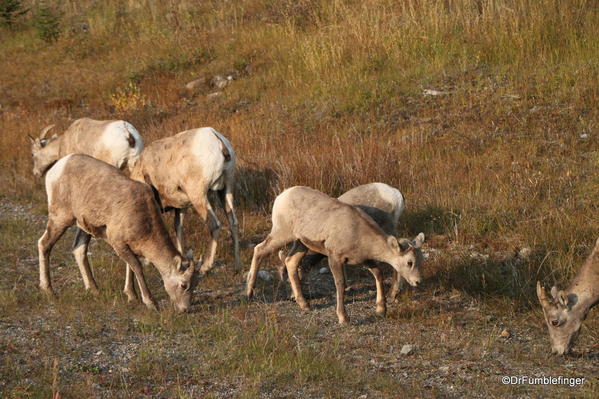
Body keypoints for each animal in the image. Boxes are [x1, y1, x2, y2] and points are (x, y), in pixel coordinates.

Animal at [39, 153, 197, 312]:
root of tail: (58, 166)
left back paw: (95, 290)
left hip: (84, 226)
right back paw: (49, 291)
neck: (145, 219)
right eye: (184, 285)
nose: (185, 309)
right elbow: (137, 267)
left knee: (79, 250)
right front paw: (150, 303)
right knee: (44, 244)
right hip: (61, 218)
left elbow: (130, 267)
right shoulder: (118, 243)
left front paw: (132, 296)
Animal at [130, 128, 240, 276]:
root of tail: (218, 140)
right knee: (233, 222)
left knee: (214, 225)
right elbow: (178, 227)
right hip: (225, 190)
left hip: (198, 196)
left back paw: (205, 267)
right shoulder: (181, 207)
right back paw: (237, 266)